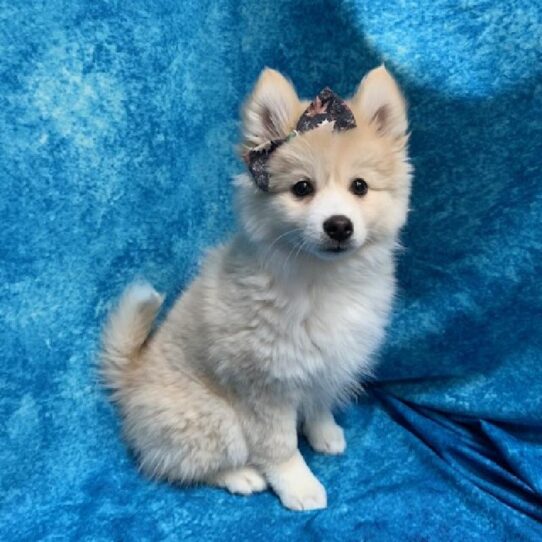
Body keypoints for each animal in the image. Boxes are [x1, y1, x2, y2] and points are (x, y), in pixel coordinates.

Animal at [101, 66, 412, 512]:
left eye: (360, 187)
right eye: (302, 188)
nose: (338, 225)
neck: (320, 280)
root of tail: (131, 380)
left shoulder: (324, 365)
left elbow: (318, 405)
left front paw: (324, 434)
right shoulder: (264, 388)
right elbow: (279, 447)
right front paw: (299, 486)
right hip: (213, 419)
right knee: (187, 463)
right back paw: (241, 476)